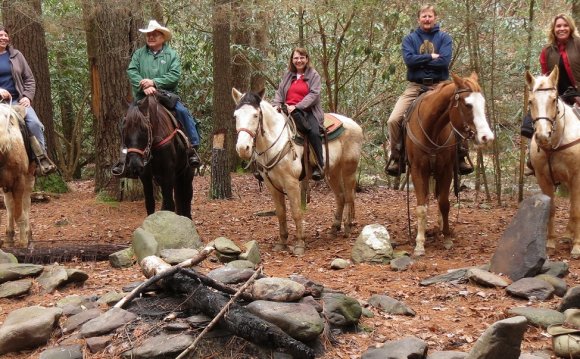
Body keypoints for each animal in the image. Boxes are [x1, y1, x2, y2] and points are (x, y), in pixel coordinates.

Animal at [231, 88, 362, 256]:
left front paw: (300, 243)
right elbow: (281, 213)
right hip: (332, 172)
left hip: (348, 170)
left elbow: (296, 212)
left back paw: (348, 227)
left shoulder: (292, 183)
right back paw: (334, 229)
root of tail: (354, 124)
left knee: (350, 196)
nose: (243, 148)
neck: (276, 142)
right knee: (340, 197)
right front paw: (282, 242)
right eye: (236, 116)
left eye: (255, 115)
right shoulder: (272, 186)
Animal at [404, 72, 494, 256]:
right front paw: (419, 244)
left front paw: (446, 237)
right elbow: (421, 207)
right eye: (467, 105)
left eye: (482, 103)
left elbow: (444, 203)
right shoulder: (417, 170)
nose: (486, 137)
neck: (431, 128)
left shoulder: (445, 170)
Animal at [524, 67, 580, 258]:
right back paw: (568, 234)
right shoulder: (543, 178)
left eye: (554, 99)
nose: (542, 136)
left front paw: (577, 246)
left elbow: (576, 210)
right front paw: (550, 243)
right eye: (530, 101)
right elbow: (551, 210)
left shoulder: (576, 178)